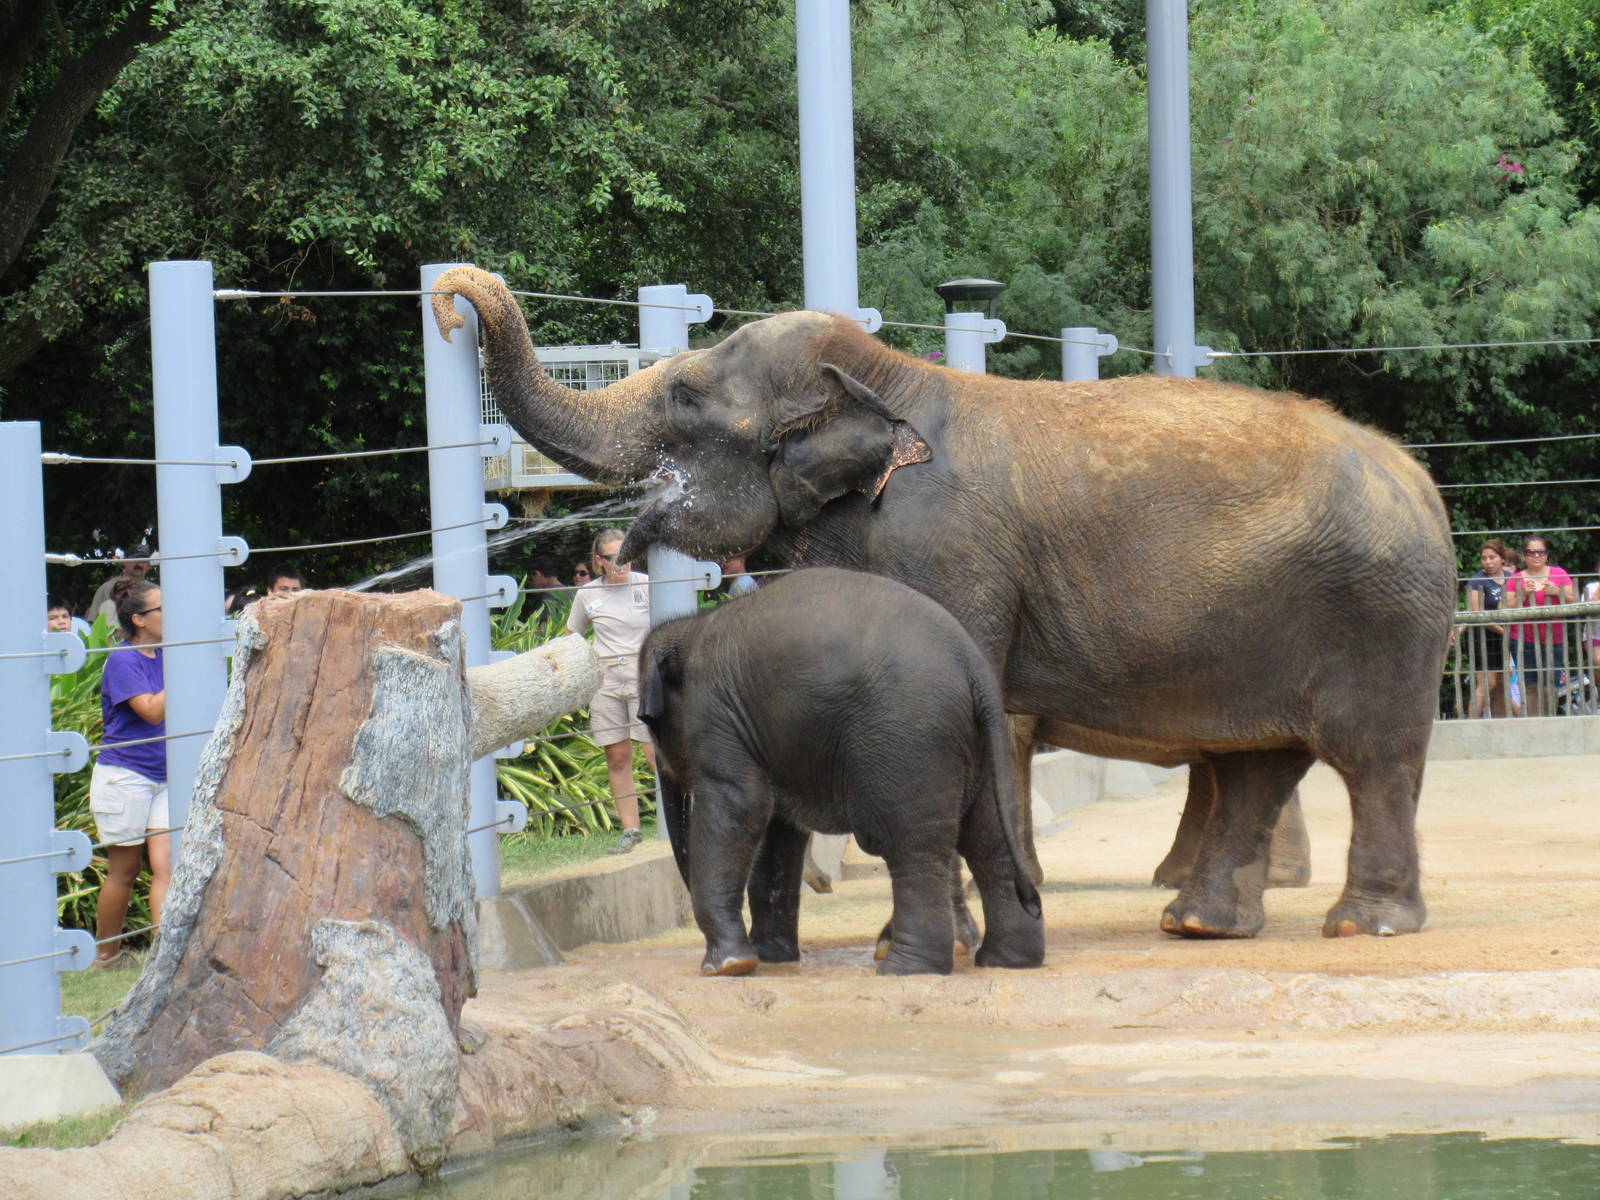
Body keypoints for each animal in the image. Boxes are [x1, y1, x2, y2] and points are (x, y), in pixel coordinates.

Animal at [637, 567, 1044, 976]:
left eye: (649, 721)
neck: (692, 627)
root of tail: (972, 667)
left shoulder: (715, 712)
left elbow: (742, 806)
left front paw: (728, 966)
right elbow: (779, 830)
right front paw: (769, 957)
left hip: (908, 741)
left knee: (912, 847)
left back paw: (904, 968)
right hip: (983, 748)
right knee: (988, 842)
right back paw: (1006, 961)